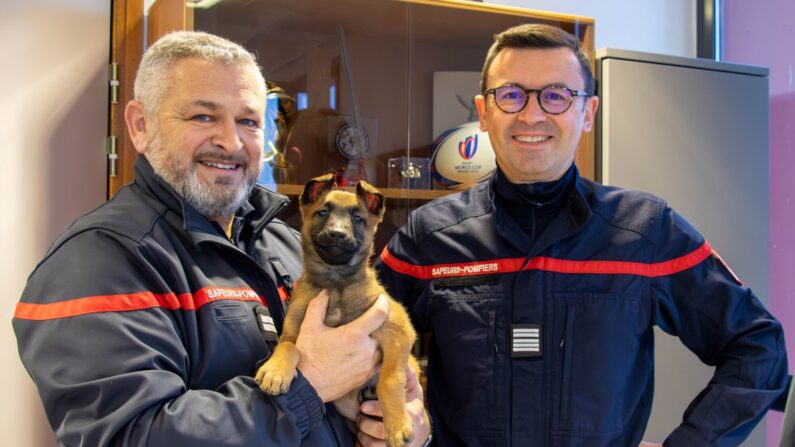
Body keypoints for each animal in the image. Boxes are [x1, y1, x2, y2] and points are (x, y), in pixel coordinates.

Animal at [258, 173, 420, 446]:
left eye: (358, 219)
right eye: (322, 212)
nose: (336, 234)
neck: (335, 283)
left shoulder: (397, 329)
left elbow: (389, 378)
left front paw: (397, 425)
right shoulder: (293, 328)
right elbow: (288, 346)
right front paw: (275, 370)